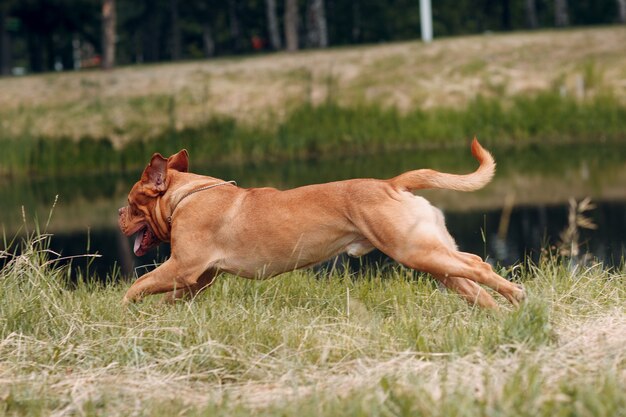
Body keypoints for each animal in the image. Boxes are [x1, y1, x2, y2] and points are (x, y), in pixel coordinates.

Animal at [117, 138, 520, 308]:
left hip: (414, 250)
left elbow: (138, 285)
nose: (118, 215)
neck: (186, 194)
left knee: (479, 266)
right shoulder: (197, 279)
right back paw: (499, 312)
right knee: (471, 280)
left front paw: (124, 309)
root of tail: (391, 183)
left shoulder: (182, 266)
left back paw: (517, 294)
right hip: (431, 254)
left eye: (131, 204)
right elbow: (166, 297)